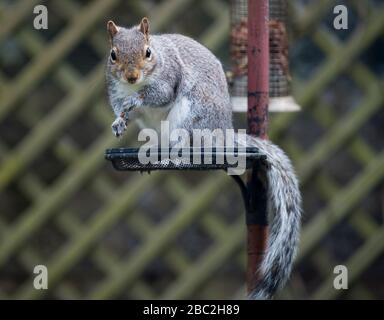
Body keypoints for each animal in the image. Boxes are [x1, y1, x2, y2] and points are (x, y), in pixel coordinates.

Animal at [105, 16, 304, 298]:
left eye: (148, 52)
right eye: (113, 54)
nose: (131, 77)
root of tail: (224, 135)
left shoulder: (169, 78)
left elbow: (158, 94)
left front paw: (136, 98)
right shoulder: (115, 91)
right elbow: (121, 109)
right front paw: (119, 122)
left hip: (193, 113)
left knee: (187, 146)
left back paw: (172, 154)